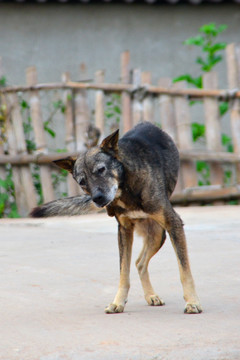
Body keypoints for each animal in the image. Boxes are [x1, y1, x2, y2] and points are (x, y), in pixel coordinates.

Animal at [31, 122, 202, 314]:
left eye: (101, 169)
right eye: (82, 182)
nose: (98, 198)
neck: (126, 189)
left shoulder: (174, 224)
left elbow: (184, 271)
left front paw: (192, 302)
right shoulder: (124, 230)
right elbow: (123, 272)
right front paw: (118, 302)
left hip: (159, 234)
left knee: (141, 262)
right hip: (154, 234)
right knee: (139, 263)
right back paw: (151, 295)